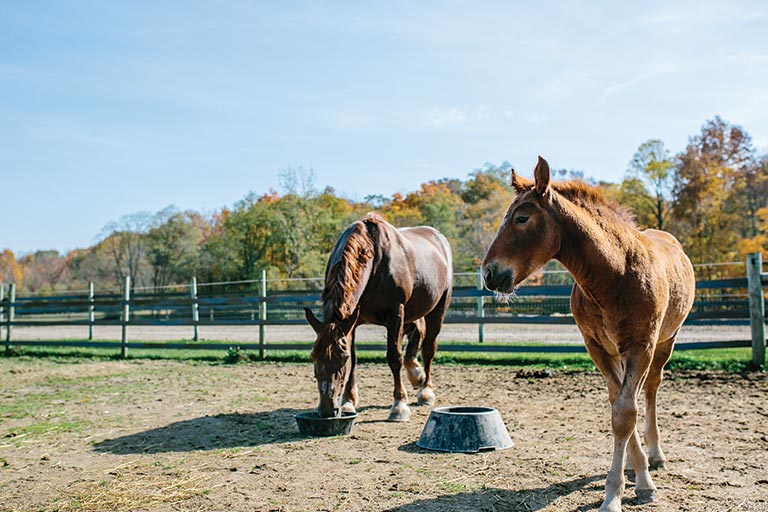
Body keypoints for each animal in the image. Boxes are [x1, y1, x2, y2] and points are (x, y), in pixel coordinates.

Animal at [304, 214, 452, 422]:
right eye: (313, 356)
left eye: (342, 359)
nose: (327, 409)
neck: (374, 260)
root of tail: (438, 237)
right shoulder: (353, 321)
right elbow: (356, 360)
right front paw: (348, 402)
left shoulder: (396, 313)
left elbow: (394, 357)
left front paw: (399, 406)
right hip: (411, 314)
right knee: (415, 337)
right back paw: (416, 374)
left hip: (437, 310)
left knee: (428, 348)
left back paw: (425, 391)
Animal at [486, 157, 696, 512]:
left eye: (521, 217)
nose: (489, 274)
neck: (615, 275)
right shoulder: (597, 347)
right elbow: (618, 406)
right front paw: (631, 478)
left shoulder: (641, 346)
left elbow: (626, 412)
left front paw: (624, 490)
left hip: (666, 341)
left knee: (651, 389)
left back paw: (655, 454)